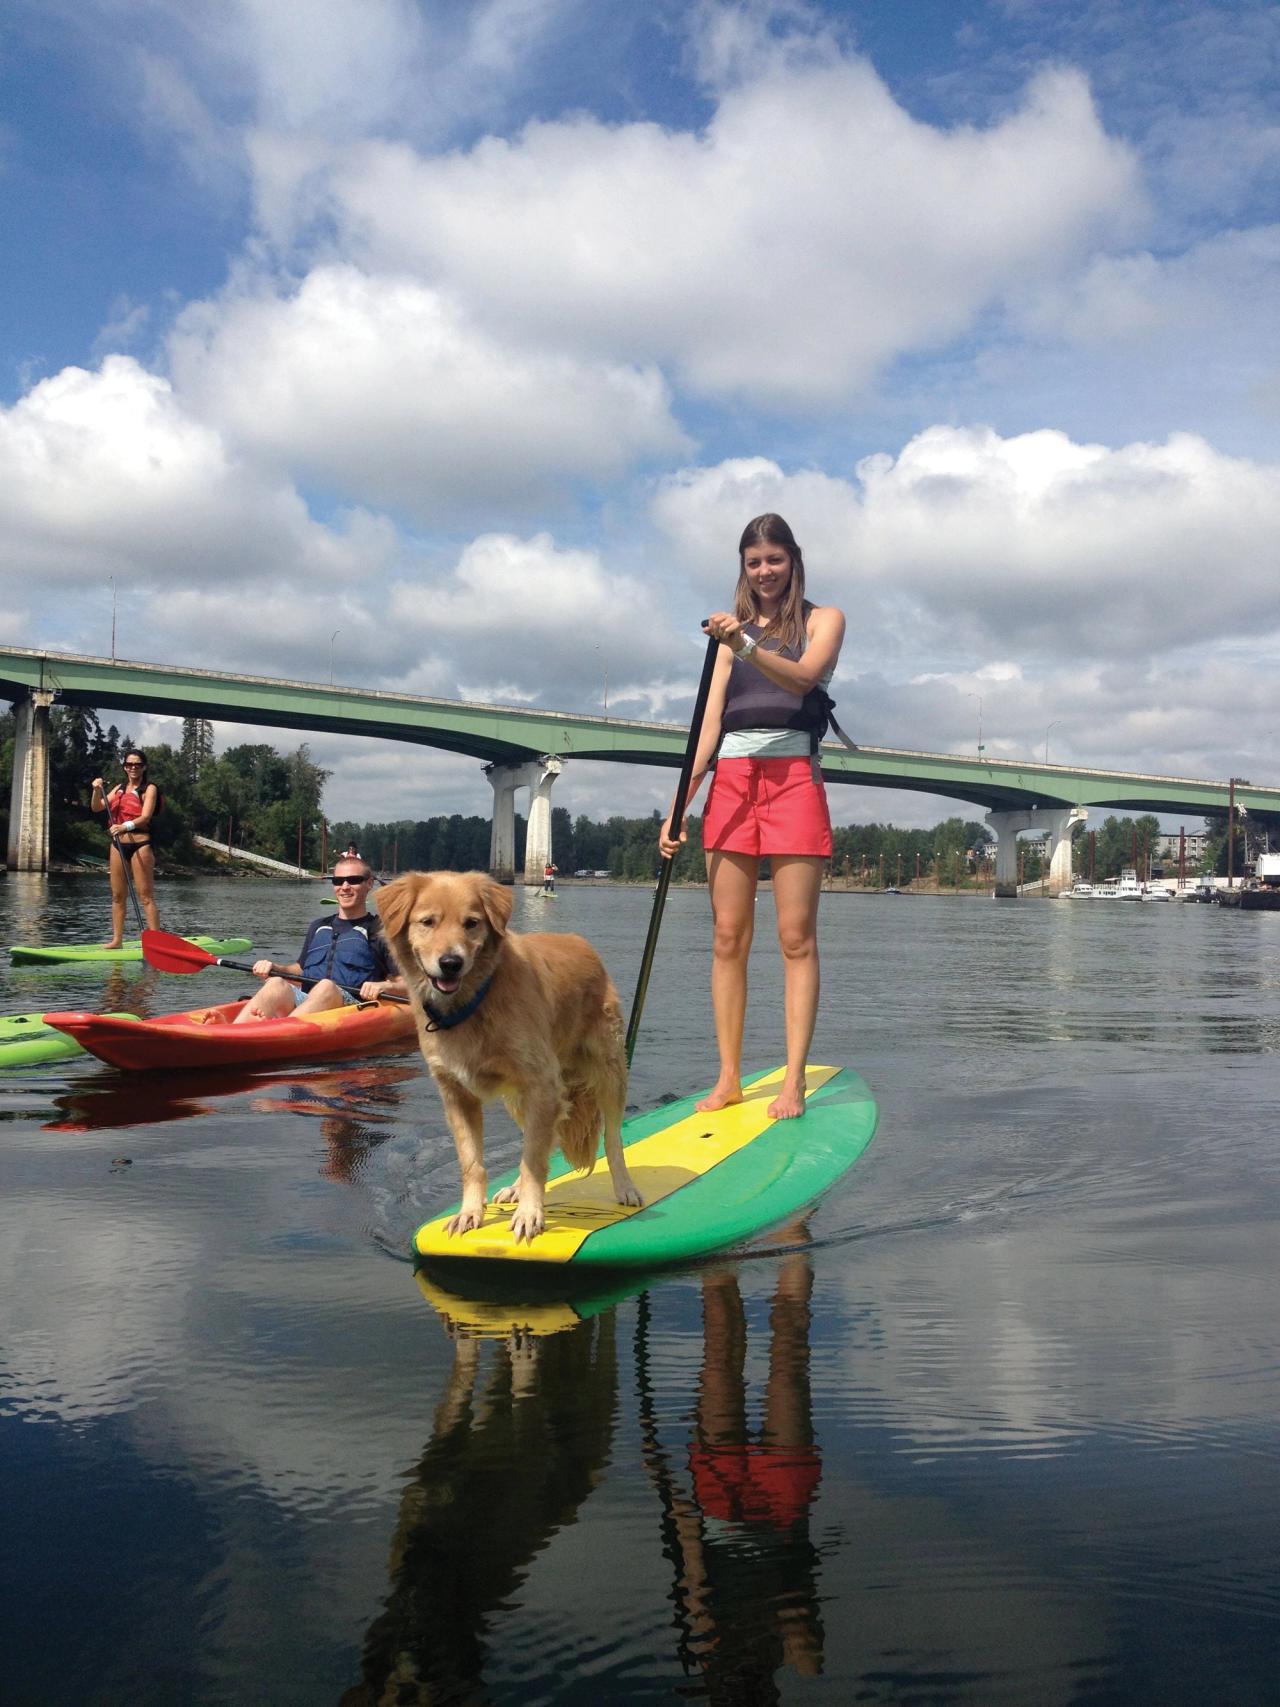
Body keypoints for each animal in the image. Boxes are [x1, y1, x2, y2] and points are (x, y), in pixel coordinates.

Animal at [376, 870, 642, 1243]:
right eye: (427, 922)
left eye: (471, 923)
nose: (450, 963)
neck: (474, 1002)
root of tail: (581, 944)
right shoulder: (457, 1095)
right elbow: (474, 1162)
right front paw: (470, 1212)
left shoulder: (542, 1085)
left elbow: (534, 1160)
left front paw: (530, 1214)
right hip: (520, 1100)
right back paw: (514, 1188)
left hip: (608, 1073)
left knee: (612, 1139)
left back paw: (625, 1188)